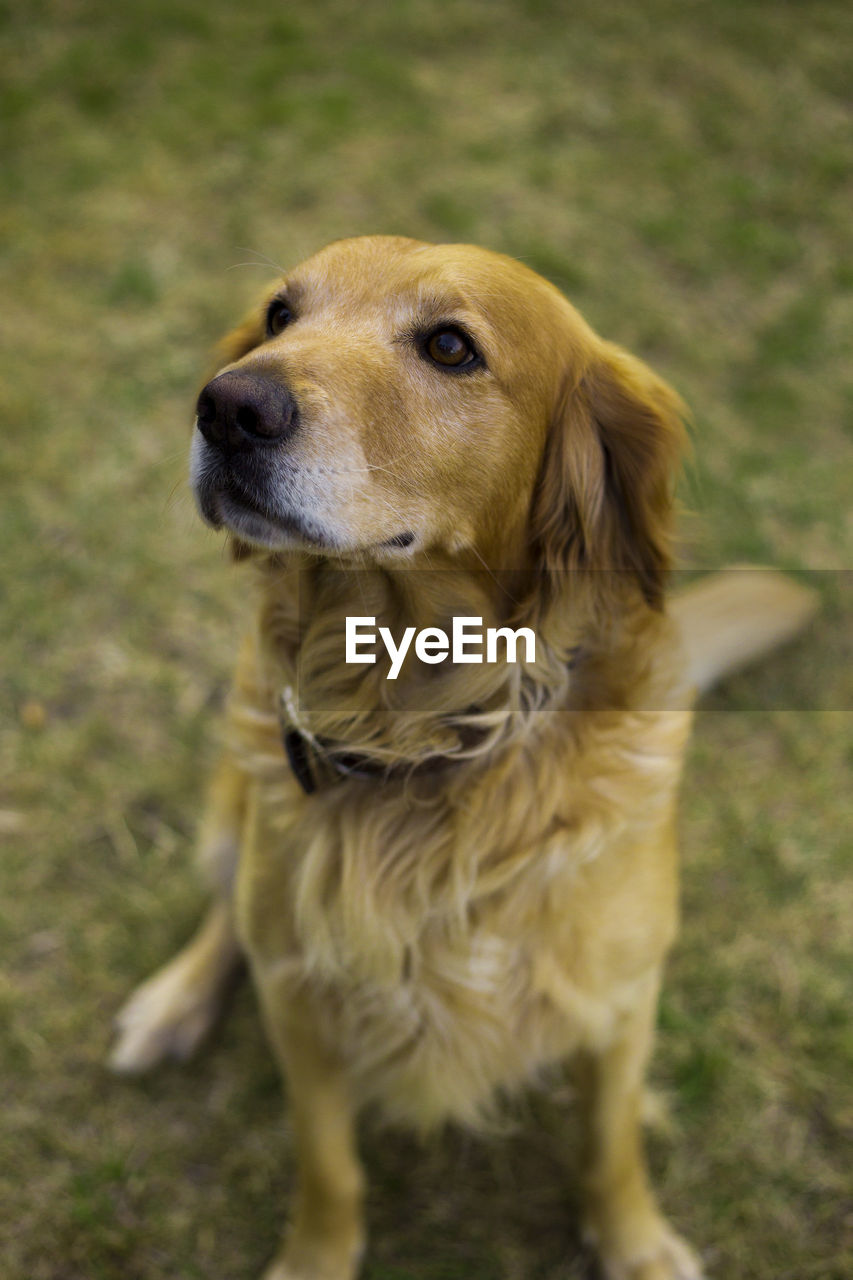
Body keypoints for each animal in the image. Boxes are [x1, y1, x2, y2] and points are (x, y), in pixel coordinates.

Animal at [109, 235, 814, 1274]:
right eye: (280, 315)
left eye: (449, 346)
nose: (227, 405)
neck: (419, 737)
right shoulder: (303, 1009)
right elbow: (329, 1166)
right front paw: (314, 1257)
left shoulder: (621, 999)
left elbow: (610, 1145)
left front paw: (635, 1244)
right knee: (229, 914)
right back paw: (171, 1005)